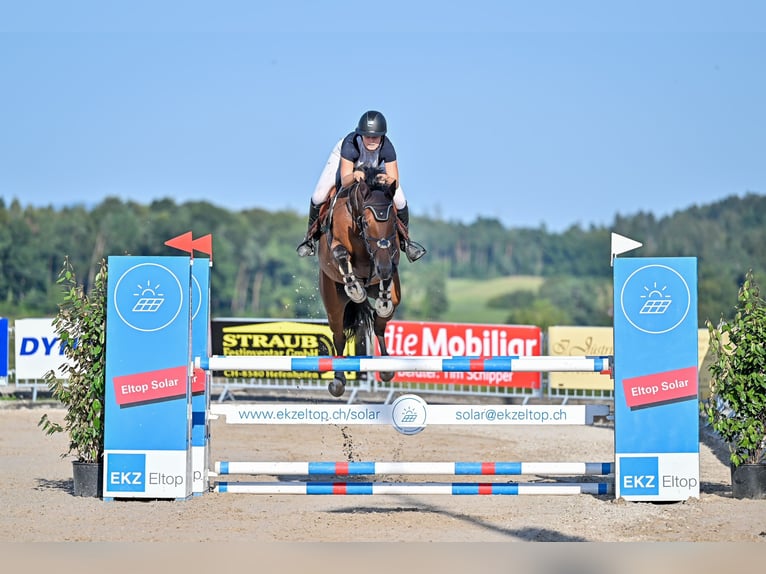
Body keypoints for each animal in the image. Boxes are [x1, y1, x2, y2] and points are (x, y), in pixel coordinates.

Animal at [318, 164, 402, 398]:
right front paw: (355, 289)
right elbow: (341, 254)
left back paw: (386, 367)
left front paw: (383, 296)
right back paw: (338, 380)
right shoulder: (338, 247)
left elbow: (389, 265)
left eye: (394, 222)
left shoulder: (389, 256)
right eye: (366, 221)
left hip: (392, 298)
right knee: (338, 336)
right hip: (333, 302)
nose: (383, 268)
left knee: (380, 323)